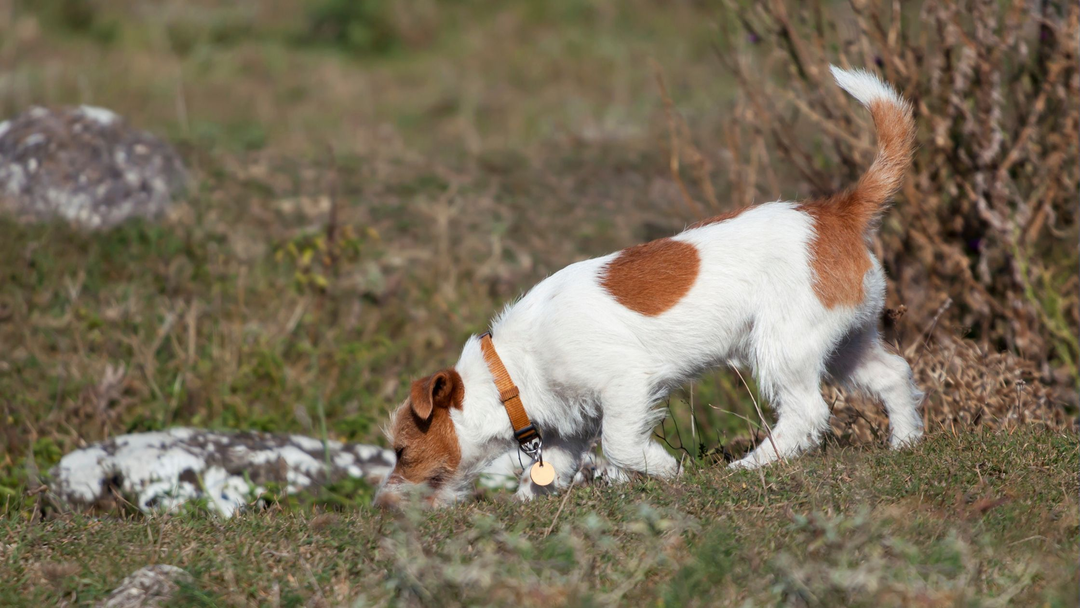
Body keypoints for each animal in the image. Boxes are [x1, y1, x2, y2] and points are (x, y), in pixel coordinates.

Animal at [375, 65, 924, 509]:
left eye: (402, 451)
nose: (382, 507)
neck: (509, 369)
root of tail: (836, 214)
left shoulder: (623, 383)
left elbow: (619, 443)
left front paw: (664, 470)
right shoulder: (570, 425)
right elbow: (555, 465)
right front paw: (529, 500)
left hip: (783, 346)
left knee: (806, 413)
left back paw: (751, 466)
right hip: (846, 341)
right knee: (893, 374)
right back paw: (905, 444)